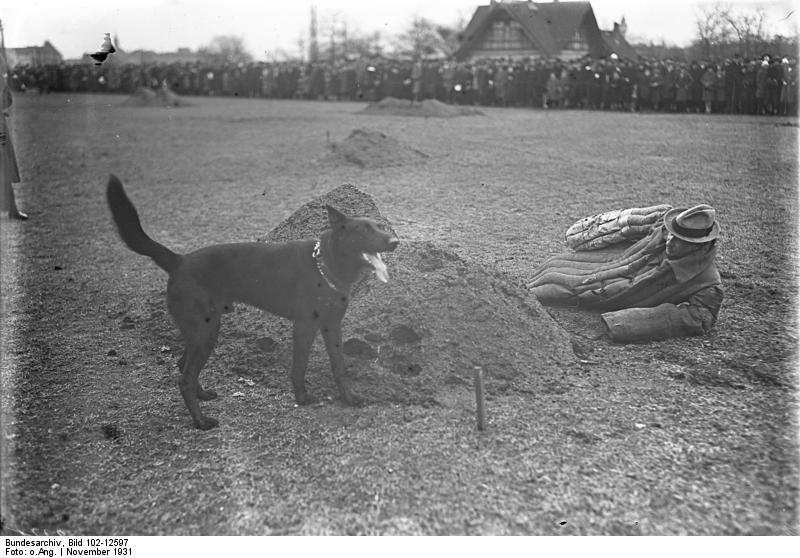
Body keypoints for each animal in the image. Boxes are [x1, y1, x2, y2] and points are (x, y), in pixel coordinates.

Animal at [106, 177, 400, 430]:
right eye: (363, 230)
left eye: (380, 227)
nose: (395, 242)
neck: (326, 265)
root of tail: (179, 261)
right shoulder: (304, 327)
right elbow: (299, 366)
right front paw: (302, 398)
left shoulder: (332, 327)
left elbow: (339, 366)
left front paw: (349, 398)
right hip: (205, 332)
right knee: (185, 377)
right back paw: (201, 422)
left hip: (202, 331)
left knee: (182, 365)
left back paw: (202, 396)